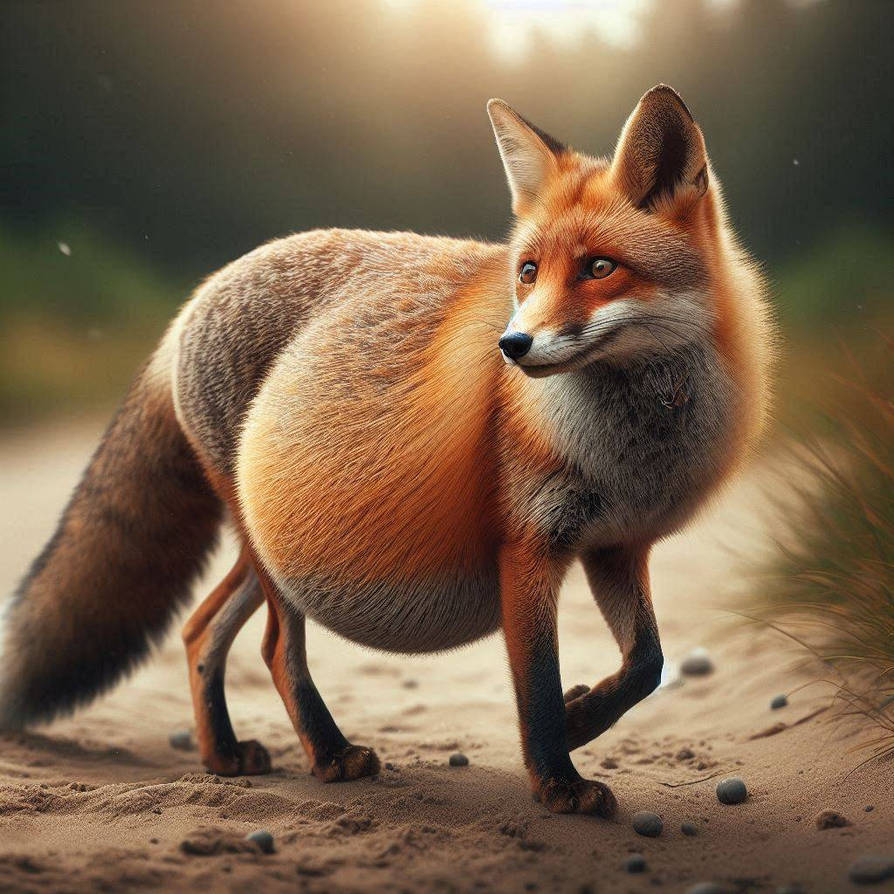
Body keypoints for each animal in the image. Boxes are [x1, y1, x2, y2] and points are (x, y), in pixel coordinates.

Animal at [0, 86, 771, 816]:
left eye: (600, 268)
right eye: (527, 271)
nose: (512, 345)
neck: (630, 454)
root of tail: (196, 298)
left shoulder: (616, 545)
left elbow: (646, 663)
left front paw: (584, 718)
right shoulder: (527, 547)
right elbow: (538, 688)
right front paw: (559, 783)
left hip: (273, 550)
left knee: (198, 629)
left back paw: (221, 755)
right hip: (276, 552)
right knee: (274, 649)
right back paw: (329, 754)